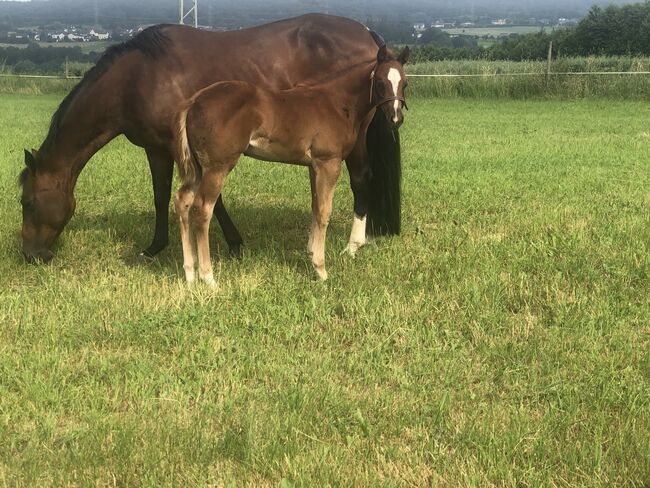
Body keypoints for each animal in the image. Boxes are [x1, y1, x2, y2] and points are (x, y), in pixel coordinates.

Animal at [17, 14, 400, 264]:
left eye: (28, 202)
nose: (31, 256)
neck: (136, 77)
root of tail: (368, 34)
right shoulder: (176, 148)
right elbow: (187, 198)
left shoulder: (169, 147)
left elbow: (174, 198)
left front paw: (157, 249)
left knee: (361, 178)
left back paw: (354, 244)